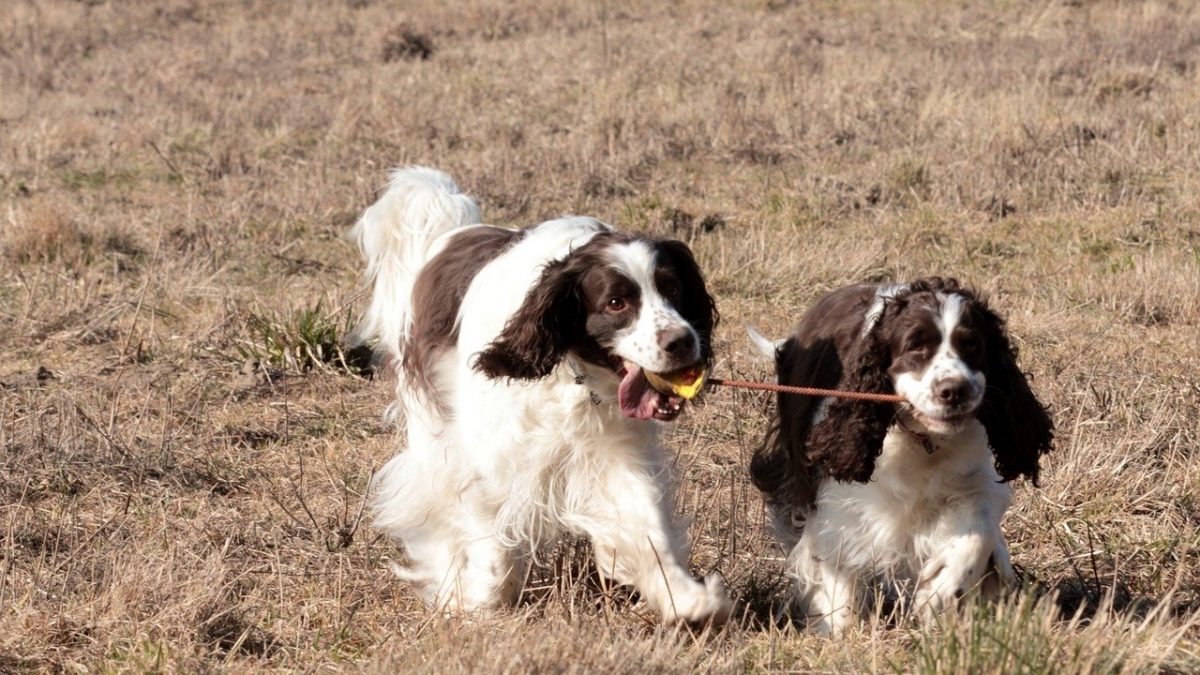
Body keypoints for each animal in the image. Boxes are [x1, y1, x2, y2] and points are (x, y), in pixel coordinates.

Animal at [350, 166, 729, 619]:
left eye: (673, 289)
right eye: (616, 303)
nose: (683, 342)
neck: (570, 374)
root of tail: (452, 232)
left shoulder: (616, 452)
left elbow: (648, 526)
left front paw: (685, 598)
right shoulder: (484, 459)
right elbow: (489, 543)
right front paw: (475, 600)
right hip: (430, 427)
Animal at [748, 276, 1051, 634]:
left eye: (973, 346)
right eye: (914, 347)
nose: (955, 391)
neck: (923, 441)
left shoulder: (974, 481)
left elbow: (978, 530)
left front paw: (940, 592)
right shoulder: (835, 501)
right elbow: (833, 568)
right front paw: (840, 630)